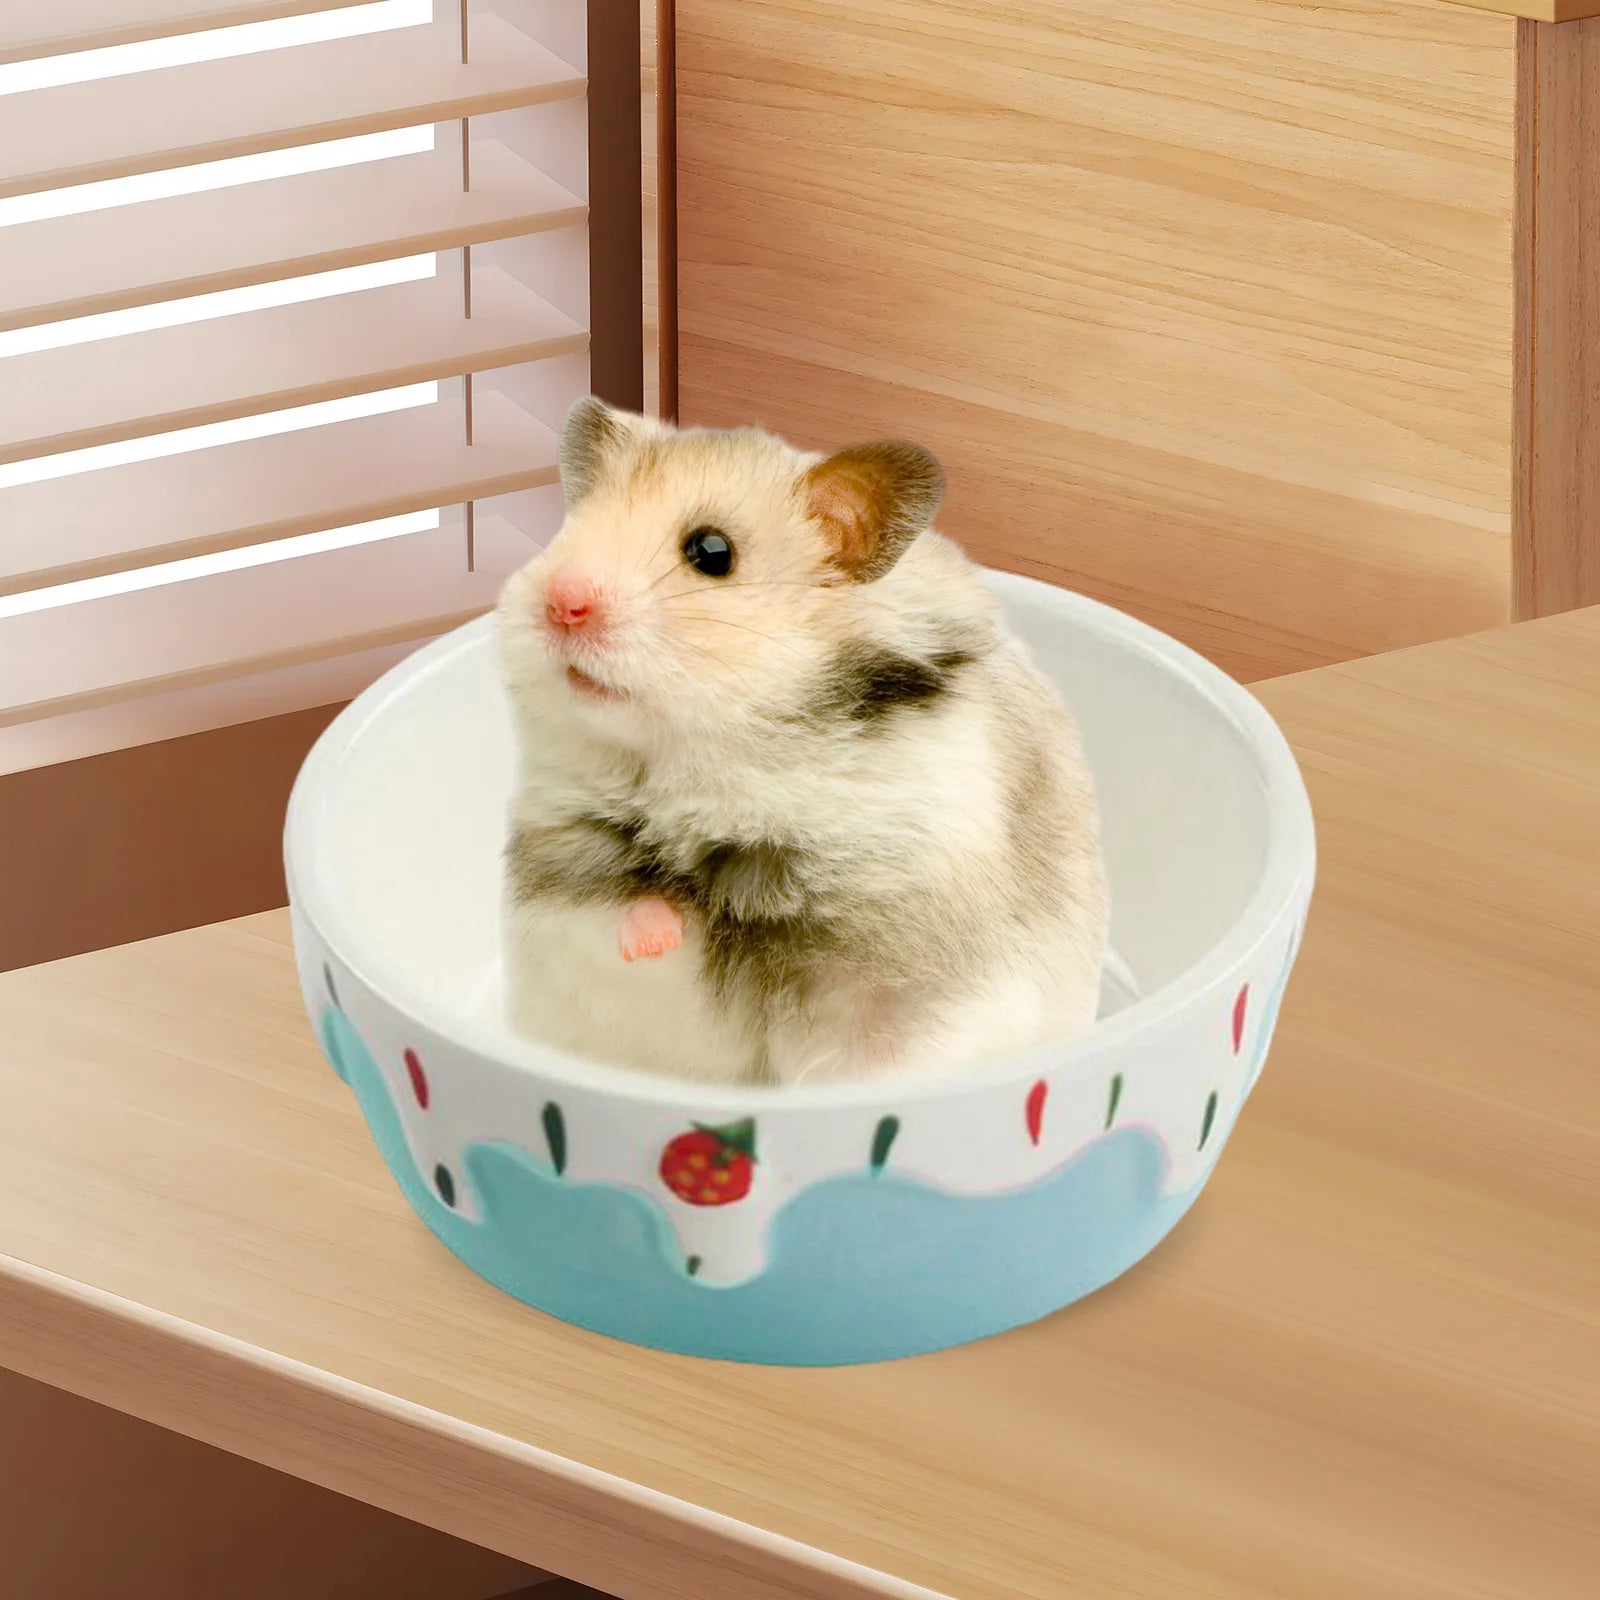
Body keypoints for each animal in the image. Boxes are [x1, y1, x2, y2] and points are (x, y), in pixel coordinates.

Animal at [493, 397, 1108, 1087]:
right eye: (568, 529)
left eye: (711, 551)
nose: (561, 604)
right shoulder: (566, 873)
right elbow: (626, 910)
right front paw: (654, 935)